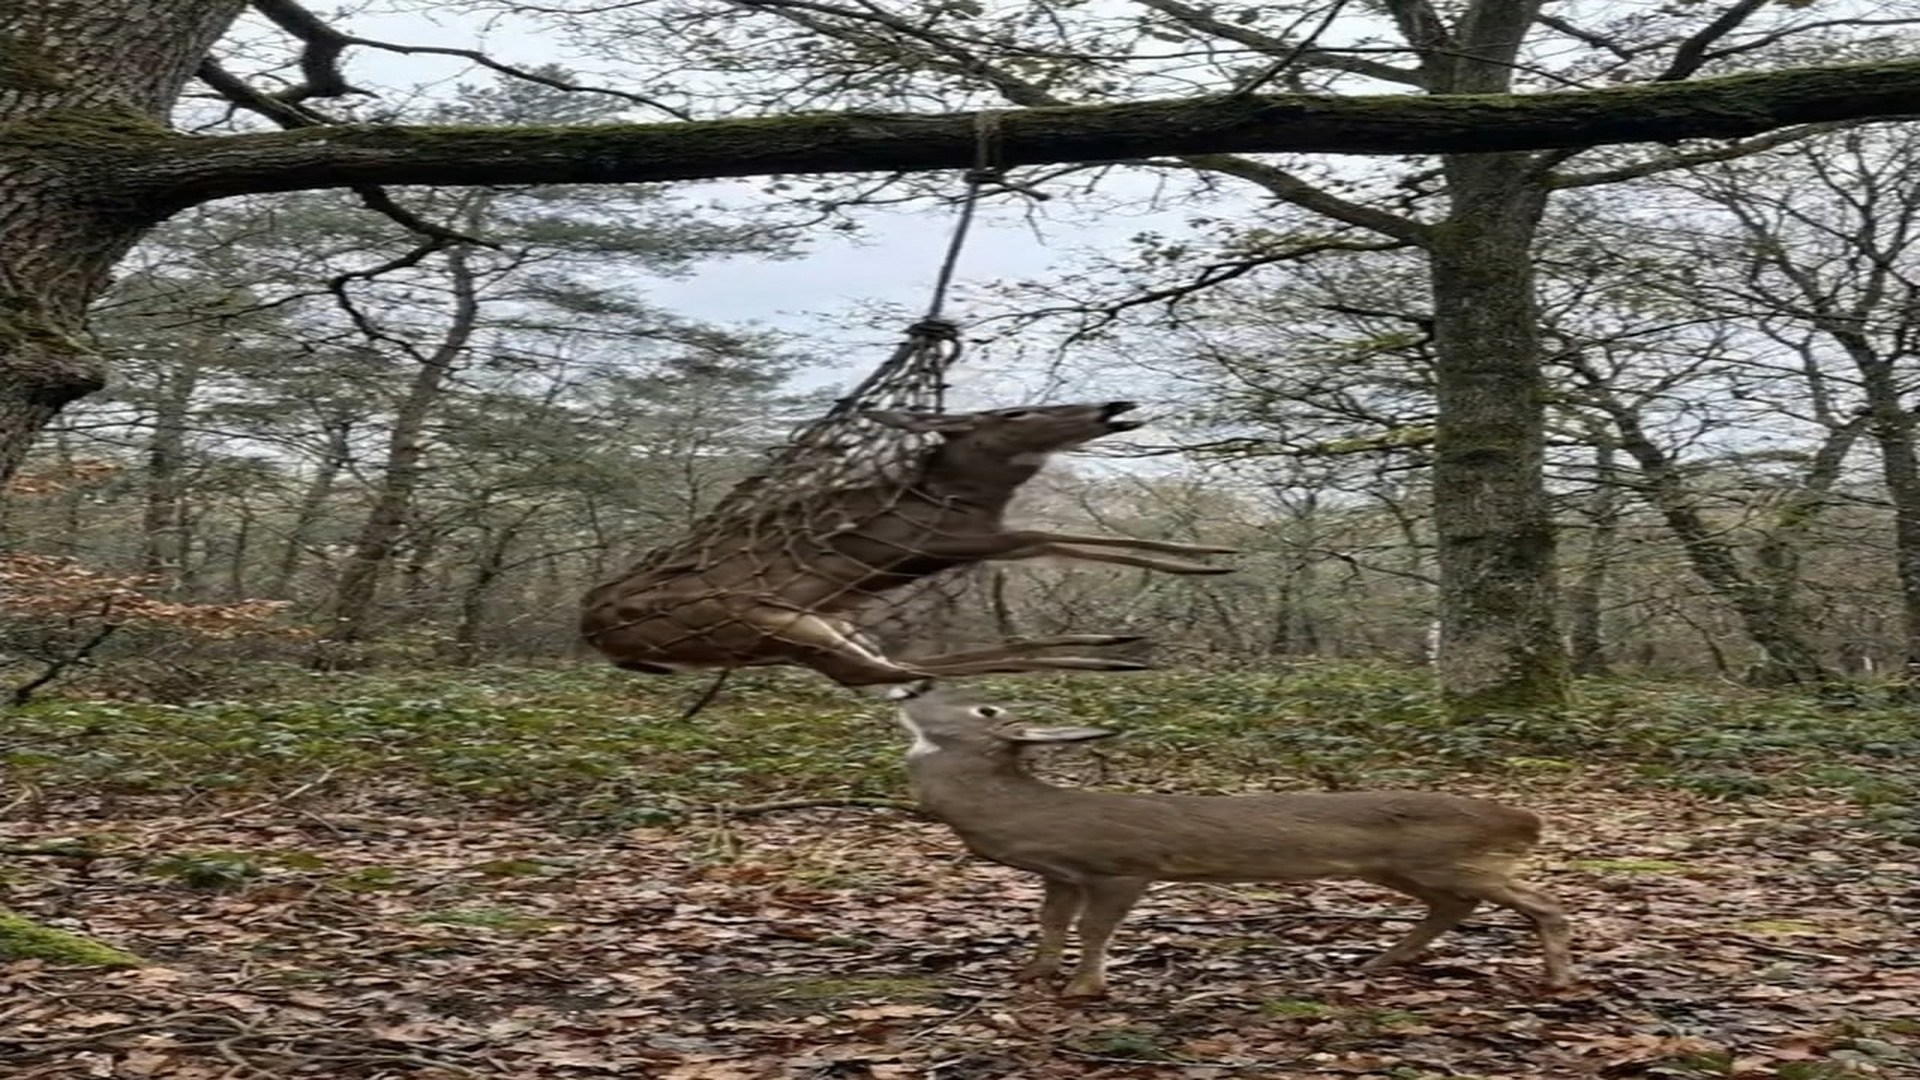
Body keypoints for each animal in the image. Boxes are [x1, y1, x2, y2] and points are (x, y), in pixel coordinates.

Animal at [580, 401, 1237, 687]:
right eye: (1016, 411)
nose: (1115, 405)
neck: (955, 498)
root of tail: (598, 636)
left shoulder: (985, 540)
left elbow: (1063, 541)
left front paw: (1214, 558)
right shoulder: (962, 540)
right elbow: (1058, 534)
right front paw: (1210, 564)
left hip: (816, 626)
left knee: (891, 669)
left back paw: (1111, 648)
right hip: (759, 624)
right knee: (886, 673)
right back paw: (1108, 657)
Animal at [888, 685, 1575, 998]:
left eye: (986, 710)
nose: (911, 687)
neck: (1031, 812)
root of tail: (1524, 818)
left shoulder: (1123, 866)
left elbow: (1094, 930)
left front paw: (1085, 989)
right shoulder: (1060, 873)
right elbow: (1052, 923)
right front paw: (1032, 973)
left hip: (1447, 860)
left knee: (1542, 903)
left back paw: (1558, 979)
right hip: (1401, 868)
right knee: (1455, 906)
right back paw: (1381, 962)